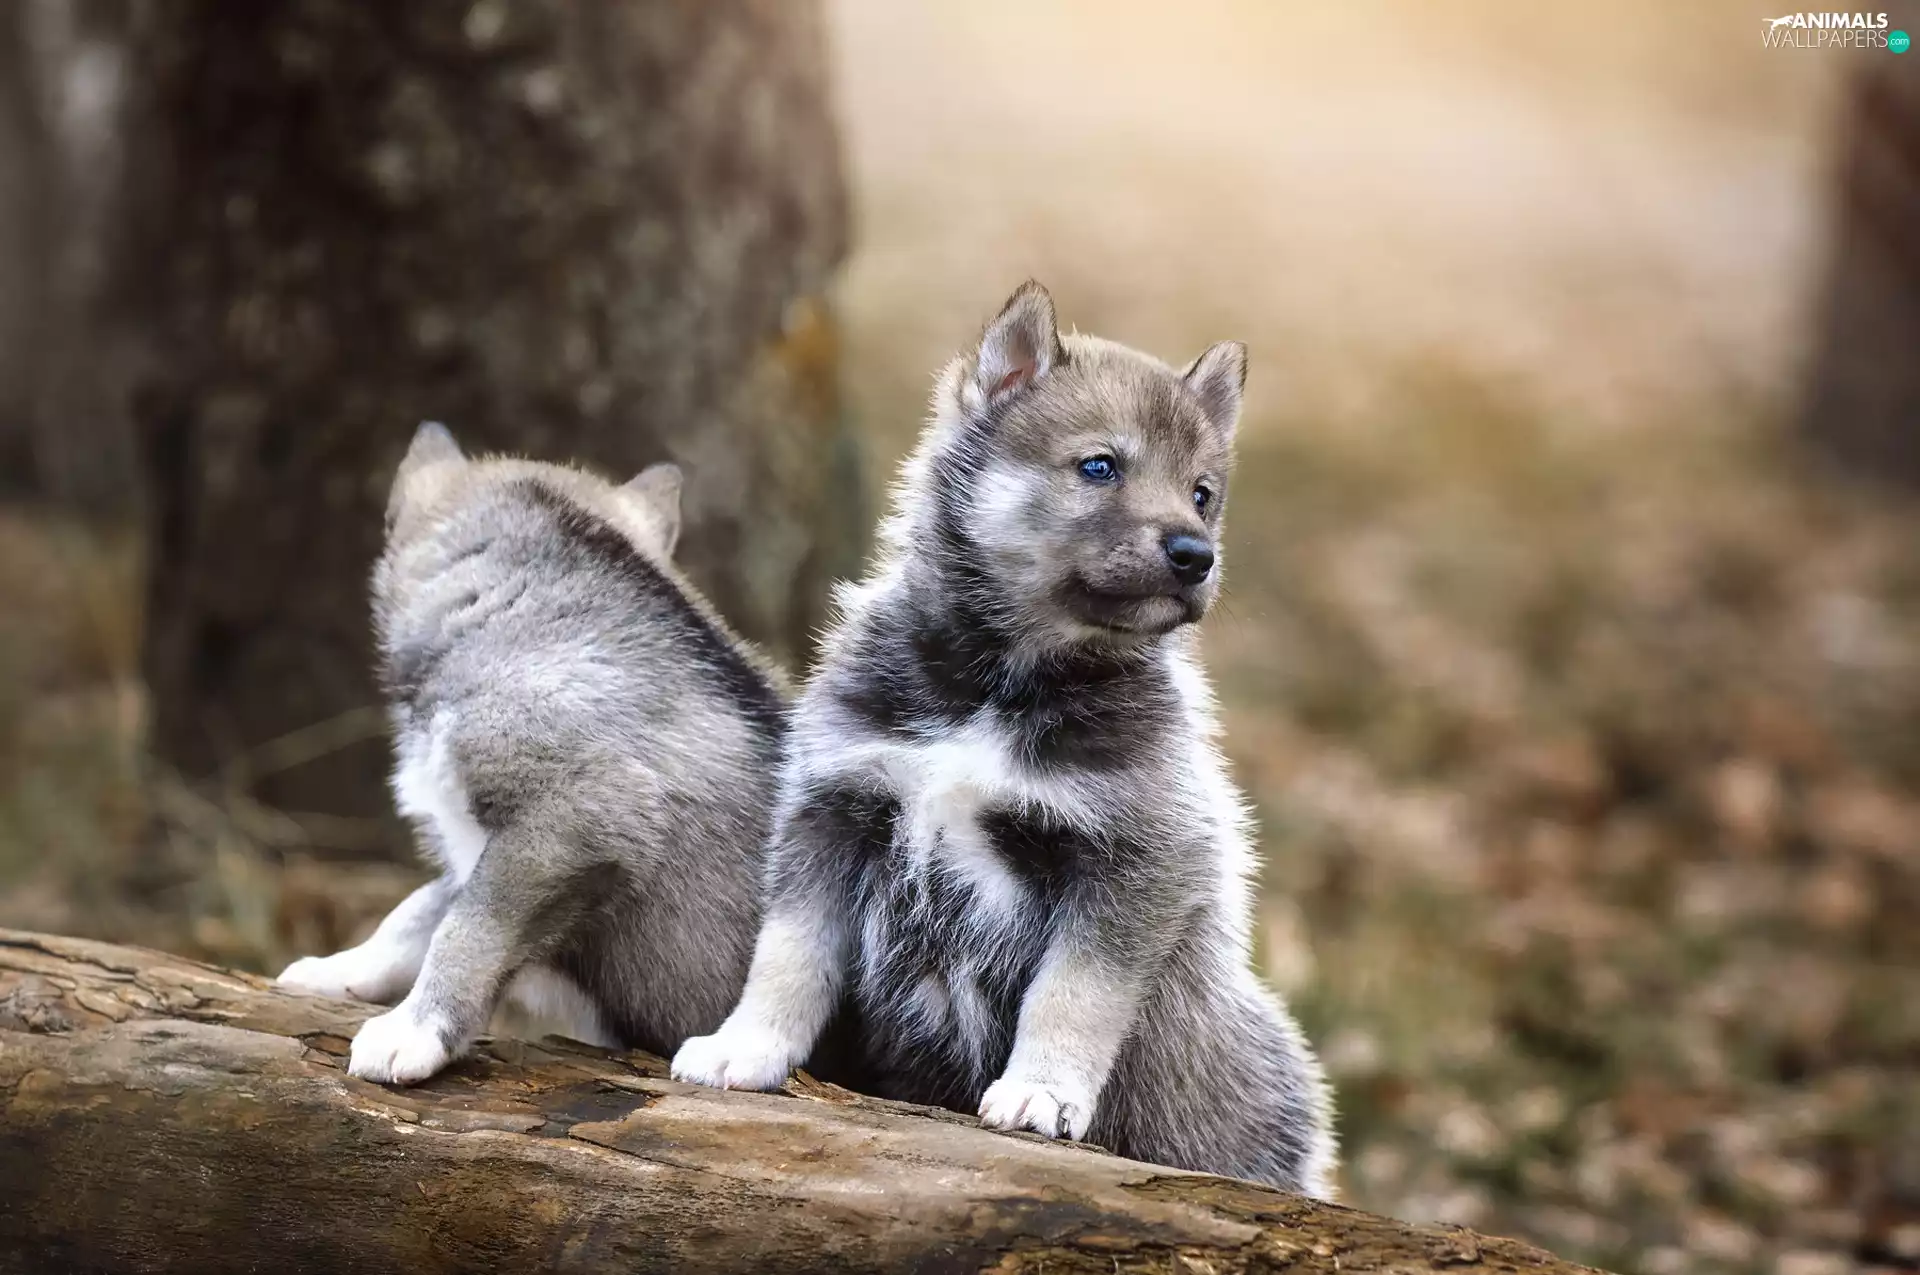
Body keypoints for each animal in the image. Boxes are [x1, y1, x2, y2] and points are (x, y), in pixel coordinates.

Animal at [277, 423, 785, 1085]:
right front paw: (338, 970)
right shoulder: (481, 844)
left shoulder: (575, 816)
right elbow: (417, 911)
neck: (524, 607)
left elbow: (465, 929)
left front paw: (413, 1032)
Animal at [671, 282, 1337, 1195]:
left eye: (1202, 492)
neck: (995, 686)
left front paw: (1042, 1092)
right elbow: (787, 953)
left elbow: (1073, 995)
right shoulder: (832, 809)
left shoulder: (1133, 861)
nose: (1195, 555)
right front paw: (746, 1046)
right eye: (1100, 466)